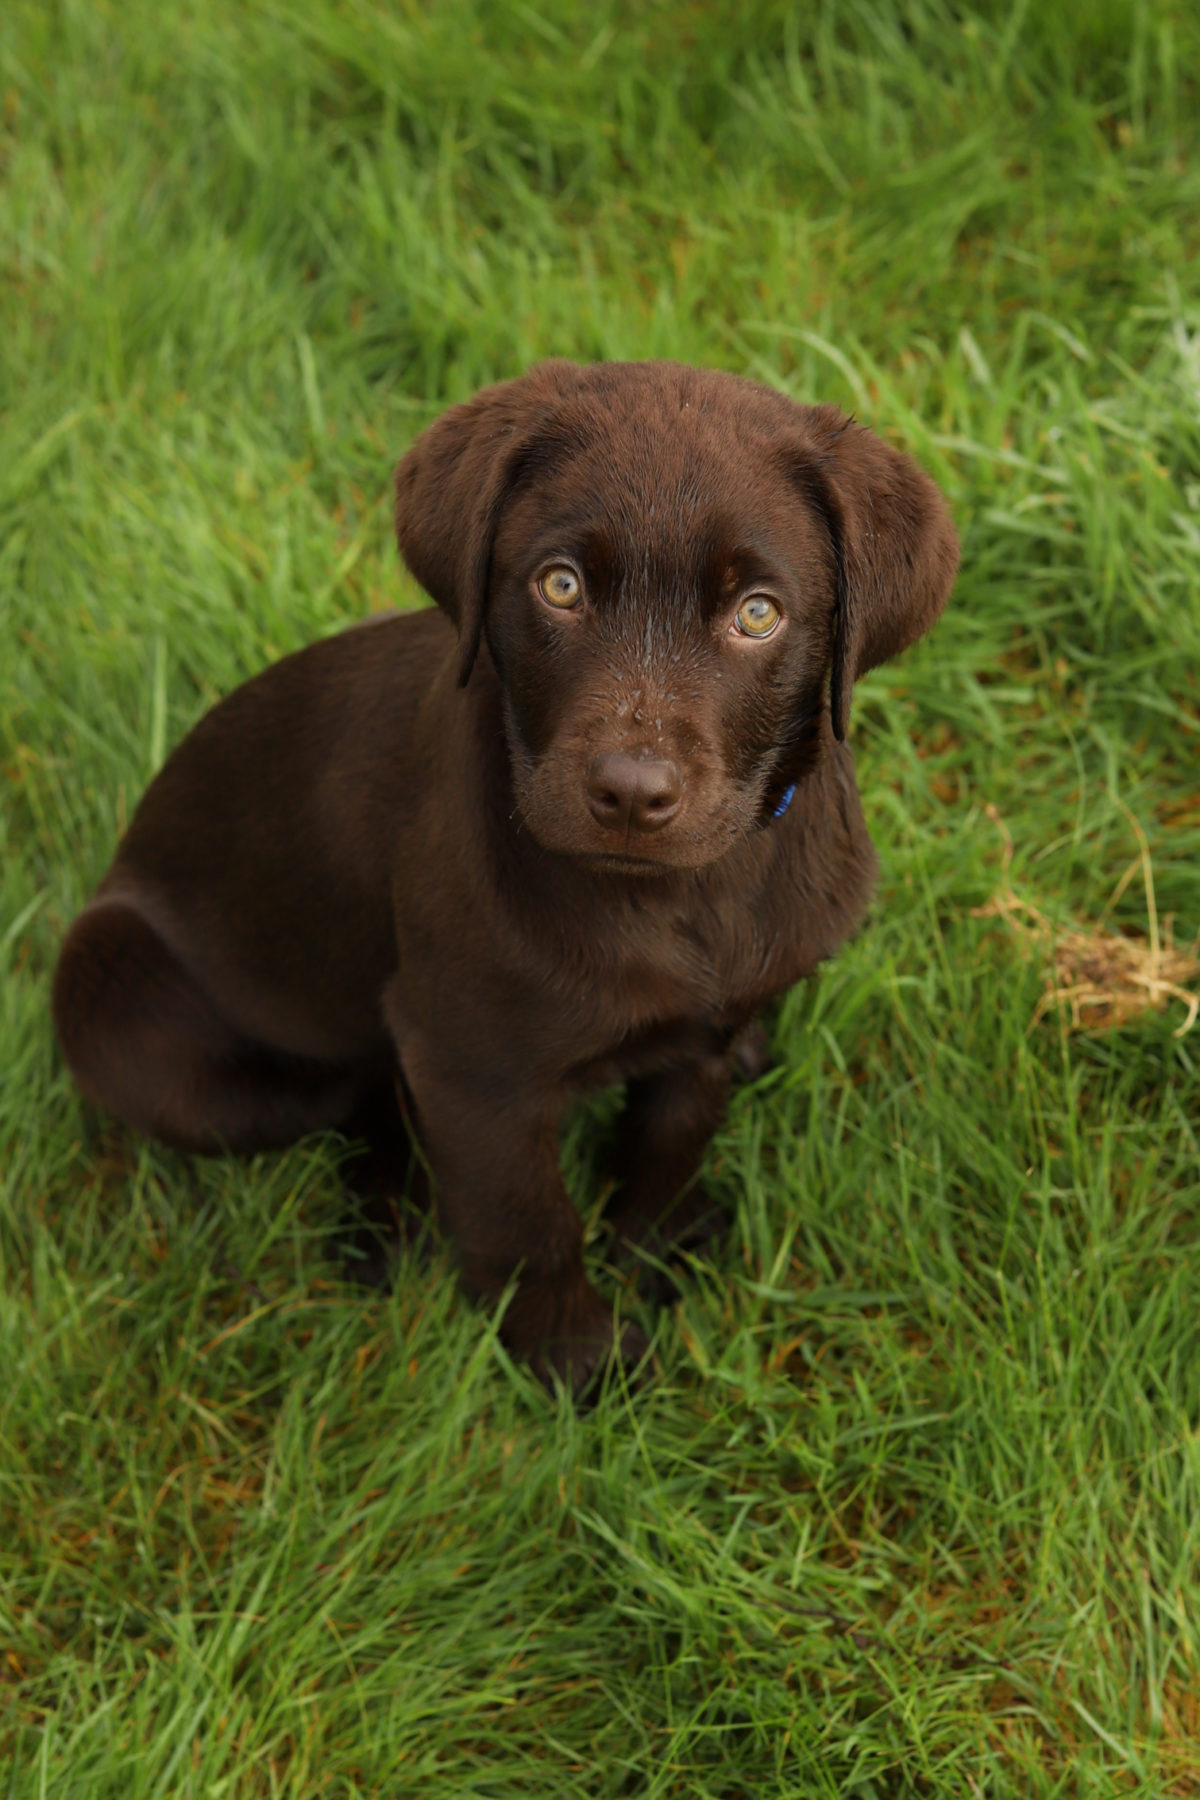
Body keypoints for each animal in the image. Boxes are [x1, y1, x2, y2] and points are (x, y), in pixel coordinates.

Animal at [53, 358, 957, 1382]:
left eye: (757, 614)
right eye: (560, 585)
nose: (632, 793)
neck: (682, 896)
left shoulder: (705, 1030)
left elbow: (669, 1139)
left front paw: (652, 1250)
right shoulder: (472, 1068)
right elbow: (527, 1223)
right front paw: (579, 1363)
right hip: (128, 1014)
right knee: (355, 1093)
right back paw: (388, 1226)